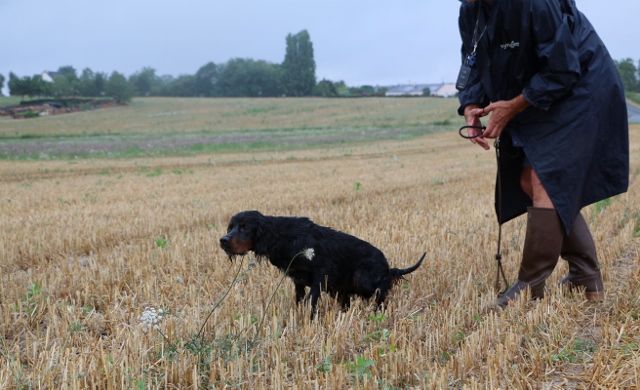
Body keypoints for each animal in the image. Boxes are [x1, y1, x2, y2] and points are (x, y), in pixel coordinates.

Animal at [220, 210, 424, 314]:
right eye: (231, 227)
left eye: (244, 227)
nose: (223, 240)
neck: (283, 237)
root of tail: (387, 266)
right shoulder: (298, 280)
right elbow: (300, 300)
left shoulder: (321, 272)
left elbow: (312, 300)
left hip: (363, 280)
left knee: (381, 292)